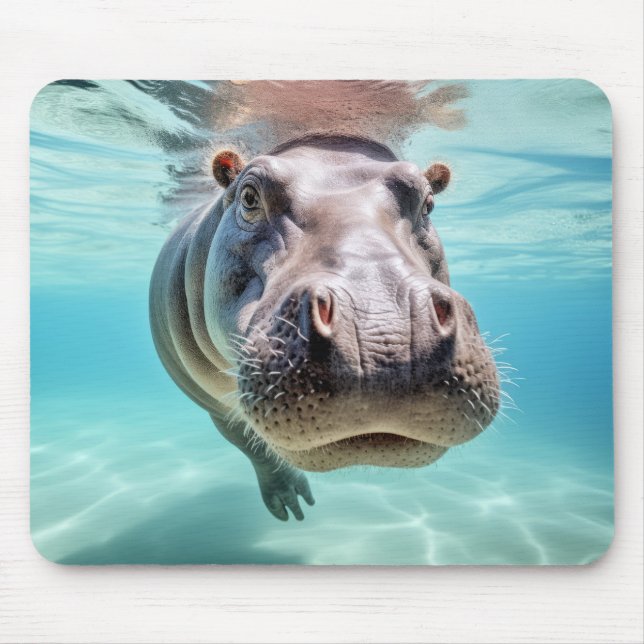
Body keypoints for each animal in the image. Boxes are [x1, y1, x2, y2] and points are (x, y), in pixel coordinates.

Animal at [149, 133, 499, 521]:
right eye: (249, 196)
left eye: (428, 204)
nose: (384, 337)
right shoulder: (215, 403)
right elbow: (250, 444)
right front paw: (288, 498)